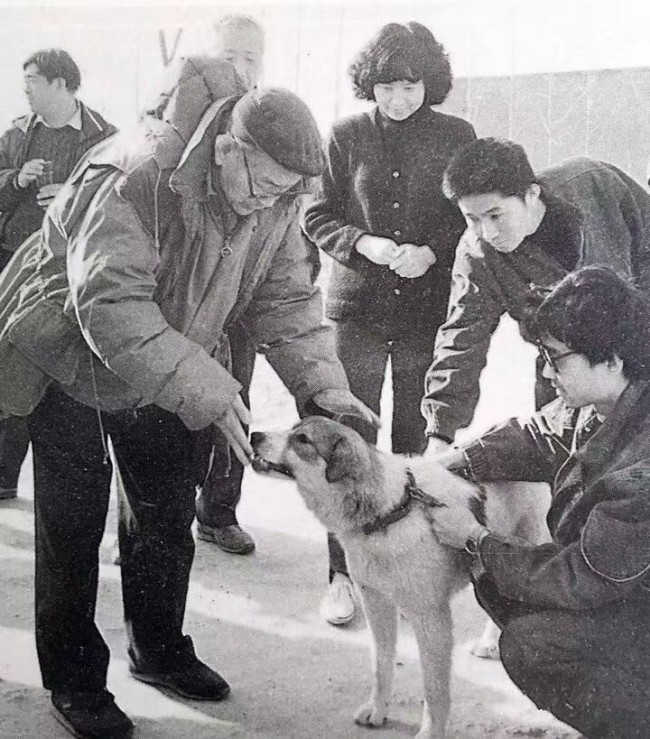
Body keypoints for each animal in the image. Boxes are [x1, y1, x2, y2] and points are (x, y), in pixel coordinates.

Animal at [251, 416, 551, 738]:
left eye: (303, 439)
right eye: (293, 428)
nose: (254, 435)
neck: (392, 510)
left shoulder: (432, 620)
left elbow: (434, 688)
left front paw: (431, 731)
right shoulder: (376, 604)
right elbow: (381, 666)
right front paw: (378, 710)